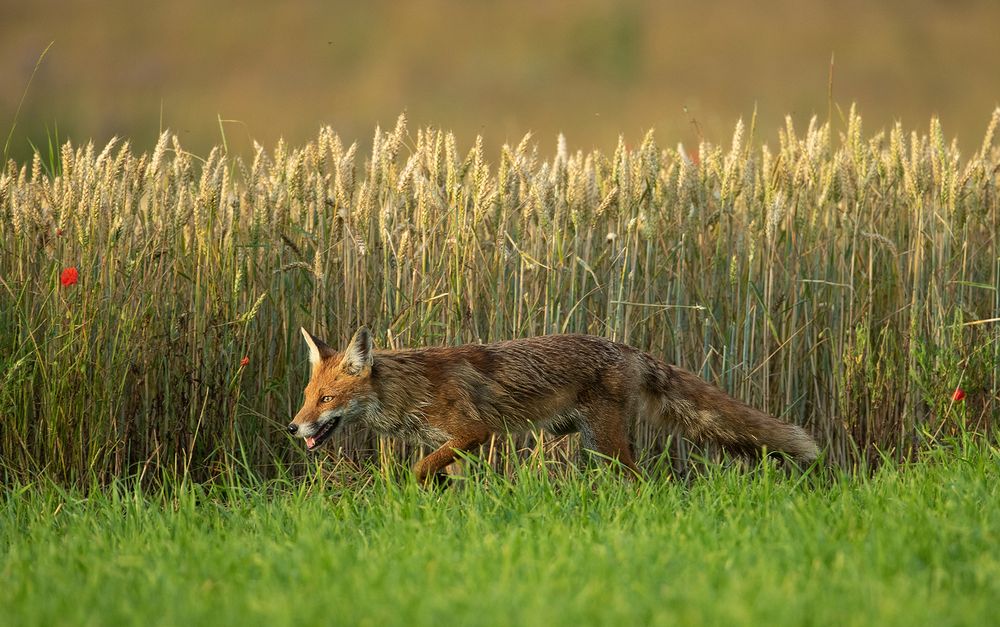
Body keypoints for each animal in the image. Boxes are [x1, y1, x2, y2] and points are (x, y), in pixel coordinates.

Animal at [290, 326, 820, 484]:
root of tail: (628, 349)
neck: (411, 387)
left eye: (327, 399)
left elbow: (419, 468)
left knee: (640, 482)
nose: (293, 428)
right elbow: (449, 478)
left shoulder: (474, 432)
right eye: (306, 399)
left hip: (605, 441)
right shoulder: (456, 445)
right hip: (577, 436)